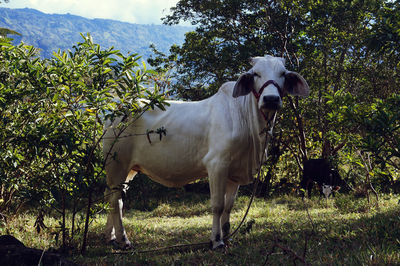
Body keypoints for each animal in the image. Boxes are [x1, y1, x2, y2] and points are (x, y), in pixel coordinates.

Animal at [103, 55, 310, 249]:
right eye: (256, 74)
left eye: (283, 74)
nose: (271, 99)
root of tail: (116, 107)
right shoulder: (217, 165)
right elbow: (217, 205)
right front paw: (217, 240)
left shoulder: (235, 172)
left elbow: (229, 206)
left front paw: (227, 235)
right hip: (117, 165)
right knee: (116, 201)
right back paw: (123, 240)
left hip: (129, 170)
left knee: (113, 199)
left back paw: (111, 237)